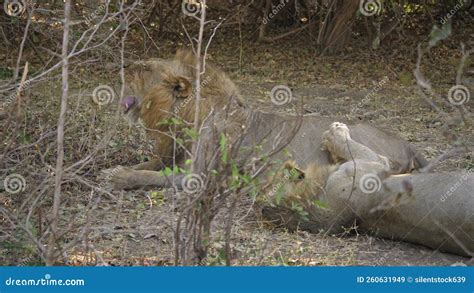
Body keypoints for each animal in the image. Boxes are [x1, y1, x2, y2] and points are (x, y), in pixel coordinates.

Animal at [102, 50, 472, 256]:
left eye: (143, 68)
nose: (125, 63)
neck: (181, 118)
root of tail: (409, 145)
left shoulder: (200, 176)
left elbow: (149, 175)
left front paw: (117, 176)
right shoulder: (173, 158)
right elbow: (148, 164)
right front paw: (111, 170)